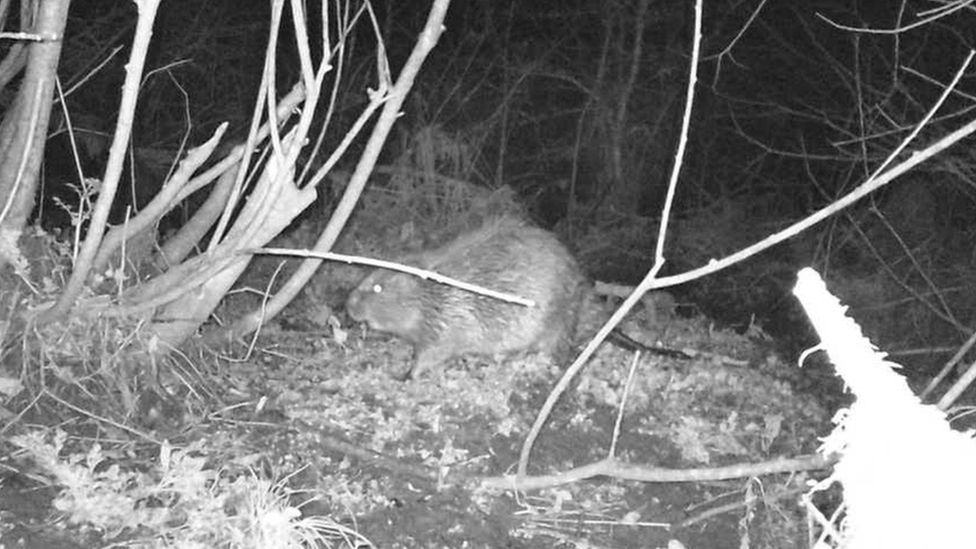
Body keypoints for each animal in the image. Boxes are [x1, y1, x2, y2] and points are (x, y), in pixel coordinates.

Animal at [344, 216, 588, 378]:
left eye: (378, 288)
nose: (349, 305)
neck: (434, 292)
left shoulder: (450, 322)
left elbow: (432, 353)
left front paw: (406, 374)